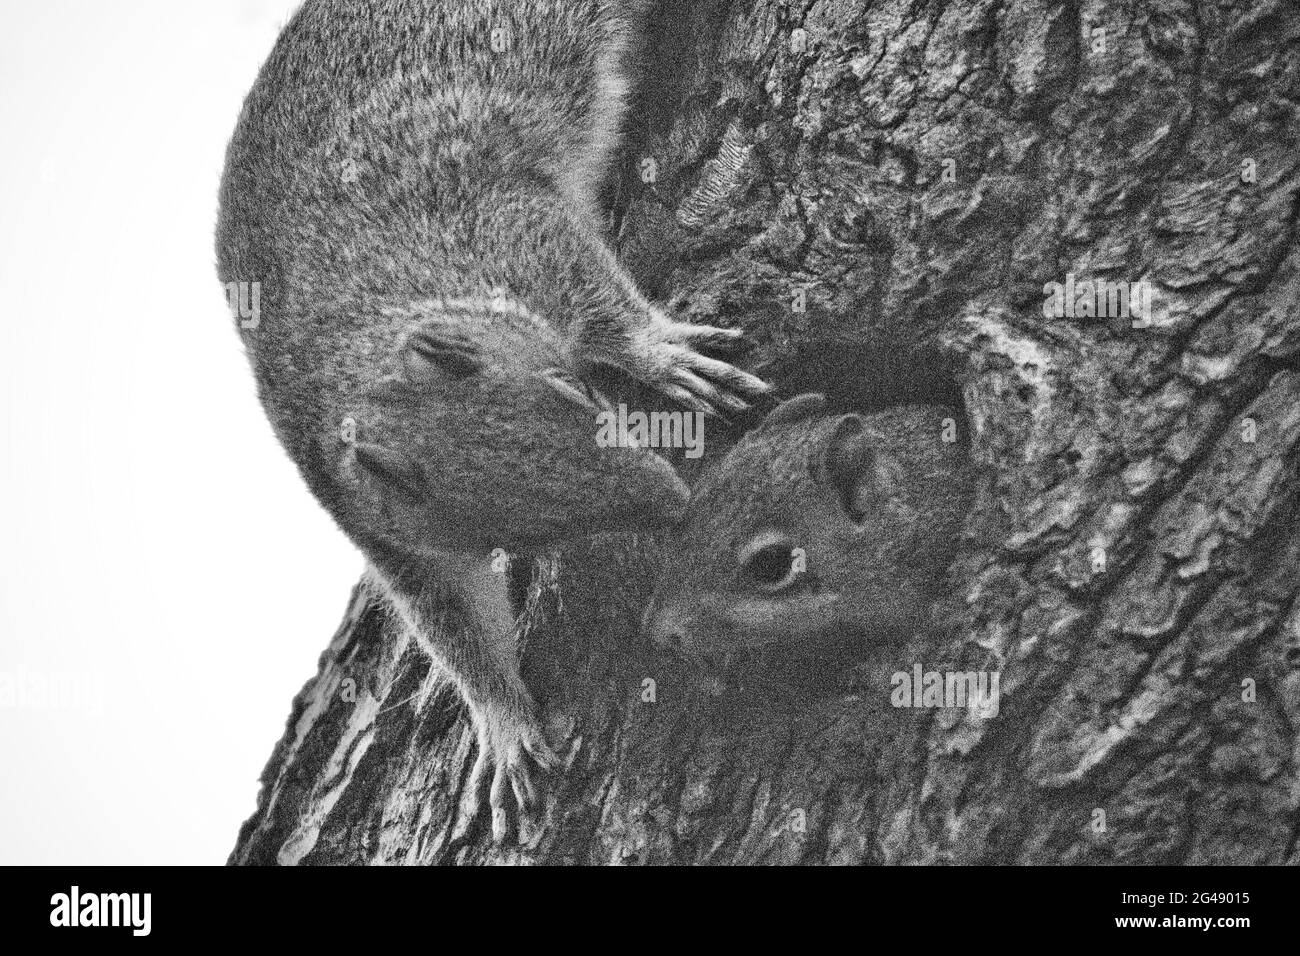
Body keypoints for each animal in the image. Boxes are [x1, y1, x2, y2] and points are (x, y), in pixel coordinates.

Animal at [215, 0, 769, 840]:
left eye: (574, 395)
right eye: (531, 530)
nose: (677, 503)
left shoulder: (506, 226)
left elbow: (591, 290)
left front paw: (659, 350)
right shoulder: (387, 533)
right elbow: (457, 627)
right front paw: (504, 727)